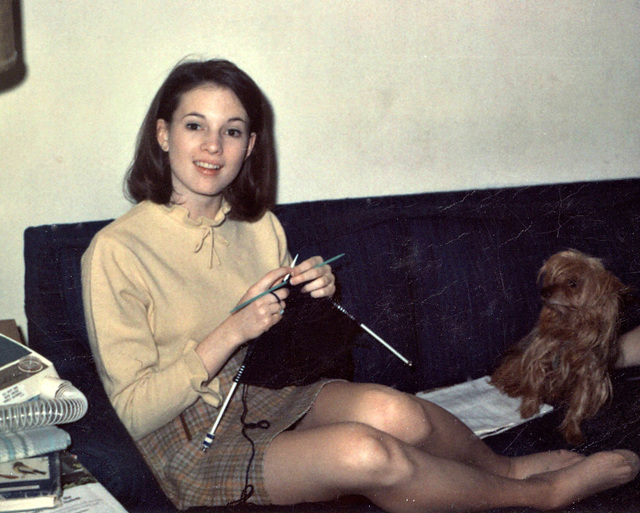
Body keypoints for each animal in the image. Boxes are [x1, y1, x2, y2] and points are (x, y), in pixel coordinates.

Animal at [492, 249, 628, 444]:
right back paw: (511, 387)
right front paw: (529, 409)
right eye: (552, 277)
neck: (571, 325)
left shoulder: (587, 373)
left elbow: (579, 402)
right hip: (515, 360)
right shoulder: (540, 355)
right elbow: (533, 382)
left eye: (572, 283)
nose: (544, 291)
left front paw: (572, 429)